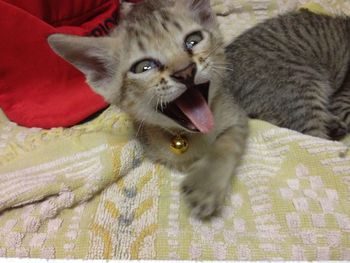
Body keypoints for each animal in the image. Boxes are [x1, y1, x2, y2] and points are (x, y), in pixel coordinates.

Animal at [47, 0, 249, 220]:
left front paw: (206, 184)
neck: (186, 136)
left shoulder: (236, 114)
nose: (185, 71)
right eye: (144, 67)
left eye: (193, 41)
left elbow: (227, 142)